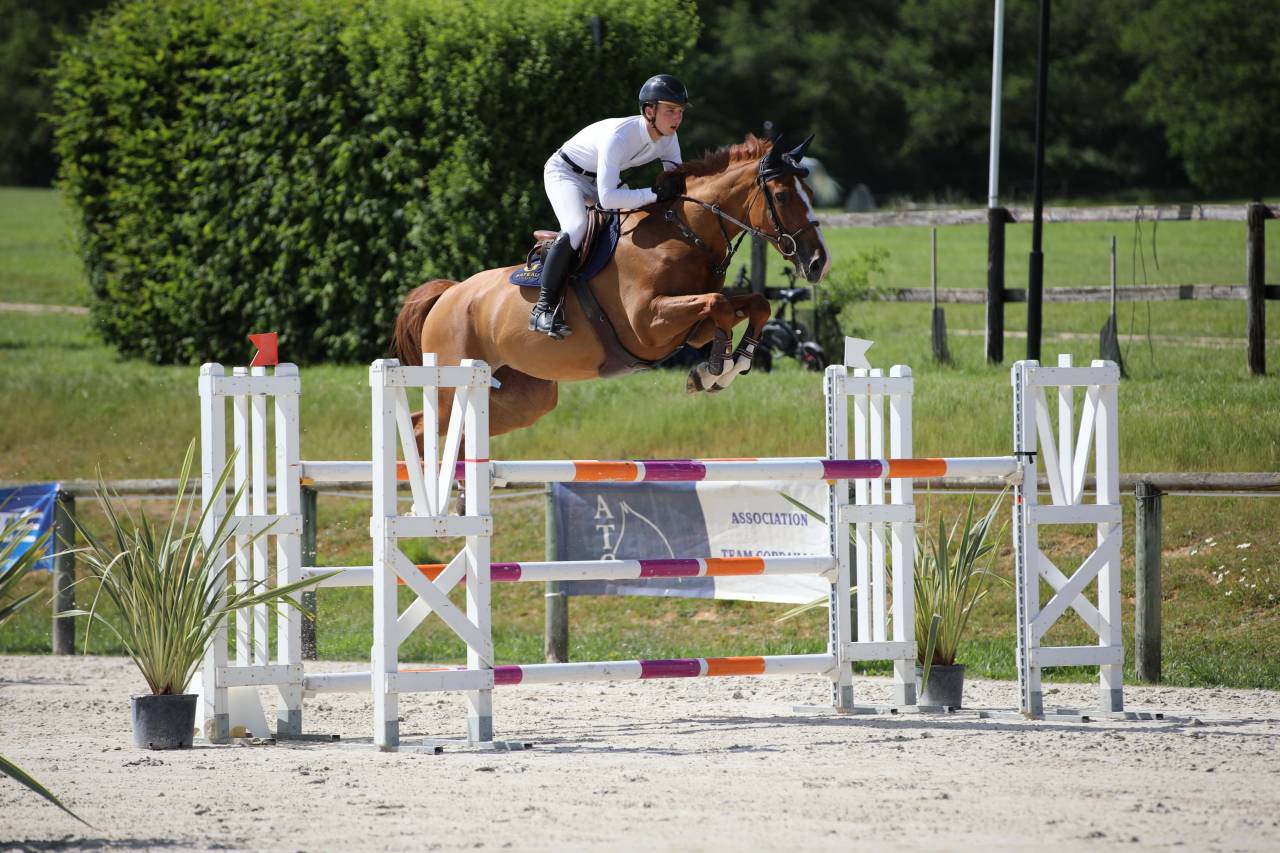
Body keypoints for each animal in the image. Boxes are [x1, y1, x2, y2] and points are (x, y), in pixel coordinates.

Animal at [392, 133, 830, 438]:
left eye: (810, 192)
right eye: (782, 196)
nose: (818, 262)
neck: (683, 234)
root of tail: (449, 295)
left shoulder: (689, 327)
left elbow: (753, 304)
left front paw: (723, 368)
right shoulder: (648, 325)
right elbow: (718, 305)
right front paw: (714, 371)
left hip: (521, 397)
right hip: (454, 384)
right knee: (422, 428)